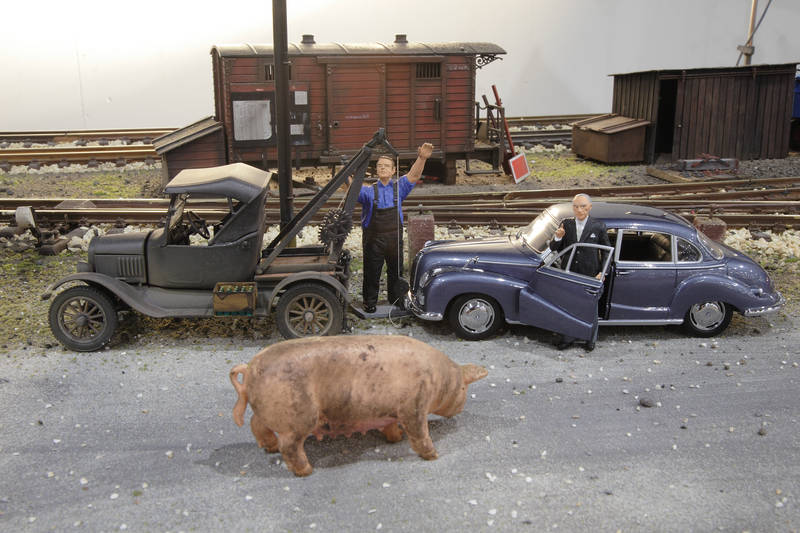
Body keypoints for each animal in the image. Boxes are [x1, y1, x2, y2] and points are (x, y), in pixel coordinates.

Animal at [228, 334, 484, 476]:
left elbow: (391, 428)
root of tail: (249, 369)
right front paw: (434, 456)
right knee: (289, 446)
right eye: (463, 389)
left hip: (267, 410)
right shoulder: (413, 405)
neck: (440, 378)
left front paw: (397, 438)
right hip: (299, 417)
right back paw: (307, 471)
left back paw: (269, 448)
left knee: (256, 424)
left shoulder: (390, 412)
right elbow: (420, 433)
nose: (462, 408)